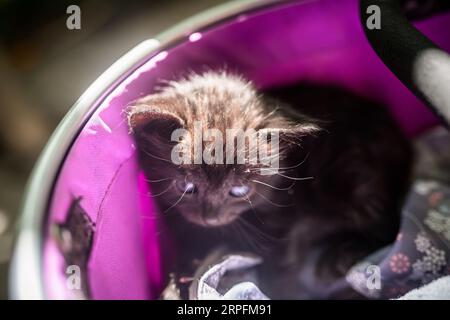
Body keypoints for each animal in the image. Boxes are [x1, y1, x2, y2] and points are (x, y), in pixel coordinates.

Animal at [125, 71, 412, 298]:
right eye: (186, 187)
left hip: (354, 182)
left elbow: (276, 268)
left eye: (239, 191)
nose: (210, 217)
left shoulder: (287, 225)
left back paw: (341, 254)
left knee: (388, 228)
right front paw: (177, 280)